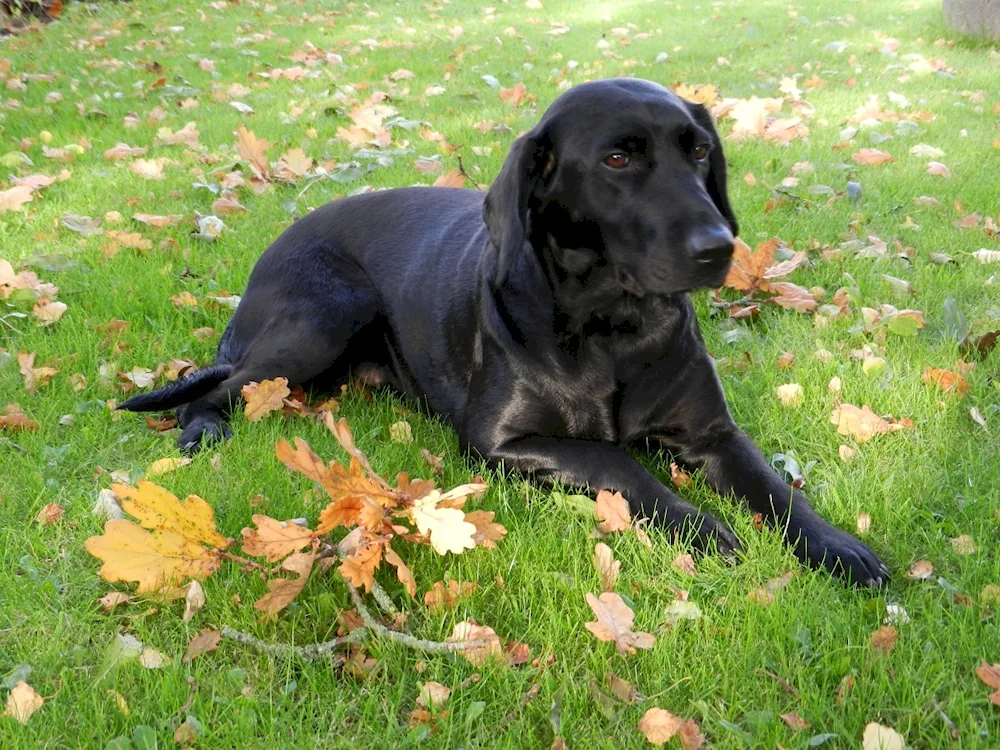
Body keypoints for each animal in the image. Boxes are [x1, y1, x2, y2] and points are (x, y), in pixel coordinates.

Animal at [123, 81, 892, 588]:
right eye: (618, 159)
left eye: (700, 151)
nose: (718, 248)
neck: (613, 328)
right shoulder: (498, 441)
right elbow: (619, 464)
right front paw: (703, 527)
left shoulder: (714, 436)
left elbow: (777, 491)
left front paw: (839, 547)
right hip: (321, 319)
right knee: (214, 387)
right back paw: (202, 431)